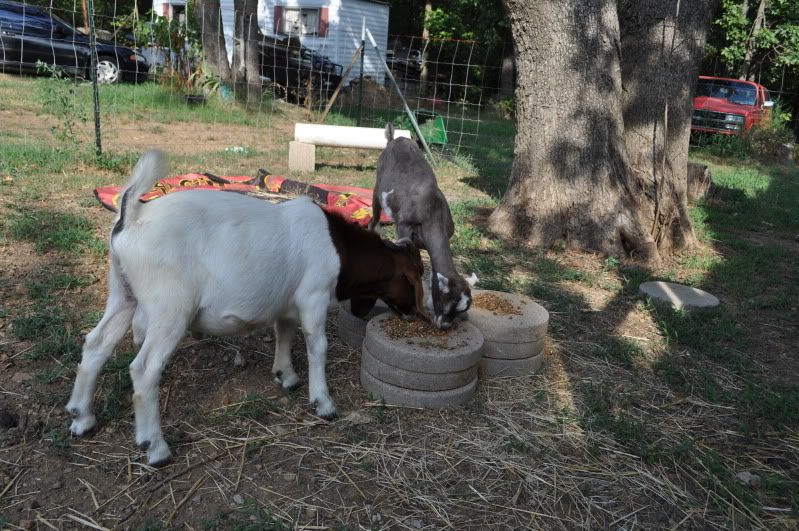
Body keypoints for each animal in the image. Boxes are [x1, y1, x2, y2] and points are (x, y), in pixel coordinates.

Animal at [66, 150, 425, 466]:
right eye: (415, 278)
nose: (415, 315)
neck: (338, 247)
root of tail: (132, 217)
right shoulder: (313, 295)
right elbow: (317, 346)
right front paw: (323, 403)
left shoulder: (287, 302)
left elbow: (285, 333)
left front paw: (286, 376)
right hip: (169, 308)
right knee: (144, 369)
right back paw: (156, 448)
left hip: (123, 293)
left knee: (96, 345)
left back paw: (82, 419)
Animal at [369, 124, 478, 329]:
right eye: (445, 303)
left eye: (461, 310)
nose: (444, 327)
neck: (431, 211)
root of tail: (395, 139)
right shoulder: (403, 228)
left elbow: (433, 273)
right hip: (377, 187)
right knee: (373, 221)